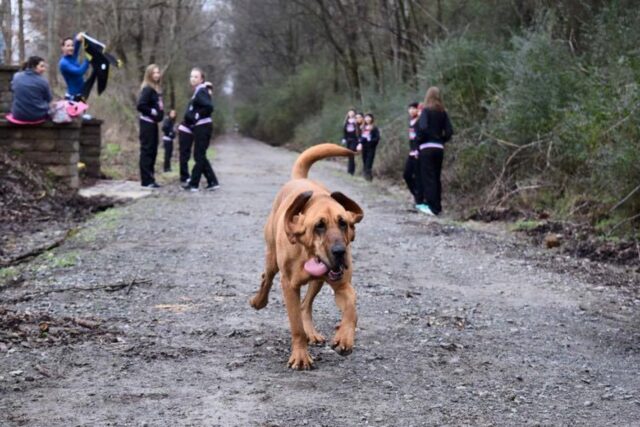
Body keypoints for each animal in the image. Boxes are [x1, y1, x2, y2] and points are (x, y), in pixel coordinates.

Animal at [251, 144, 364, 372]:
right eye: (319, 226)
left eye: (343, 223)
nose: (340, 252)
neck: (306, 252)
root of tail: (298, 179)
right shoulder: (289, 286)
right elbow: (296, 326)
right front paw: (301, 356)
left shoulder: (342, 286)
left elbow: (351, 307)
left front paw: (344, 338)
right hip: (272, 259)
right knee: (266, 278)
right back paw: (259, 301)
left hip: (318, 281)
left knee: (306, 305)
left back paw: (312, 333)